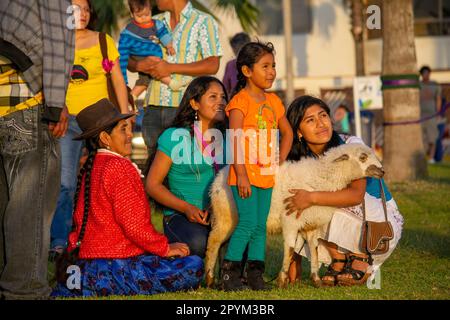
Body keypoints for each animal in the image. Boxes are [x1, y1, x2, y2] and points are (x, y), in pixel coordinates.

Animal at [205, 142, 384, 288]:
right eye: (362, 157)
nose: (382, 171)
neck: (323, 178)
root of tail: (218, 178)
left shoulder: (311, 225)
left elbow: (314, 250)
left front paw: (316, 280)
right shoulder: (290, 221)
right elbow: (290, 248)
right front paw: (282, 280)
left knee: (223, 245)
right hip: (226, 216)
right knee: (214, 241)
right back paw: (209, 279)